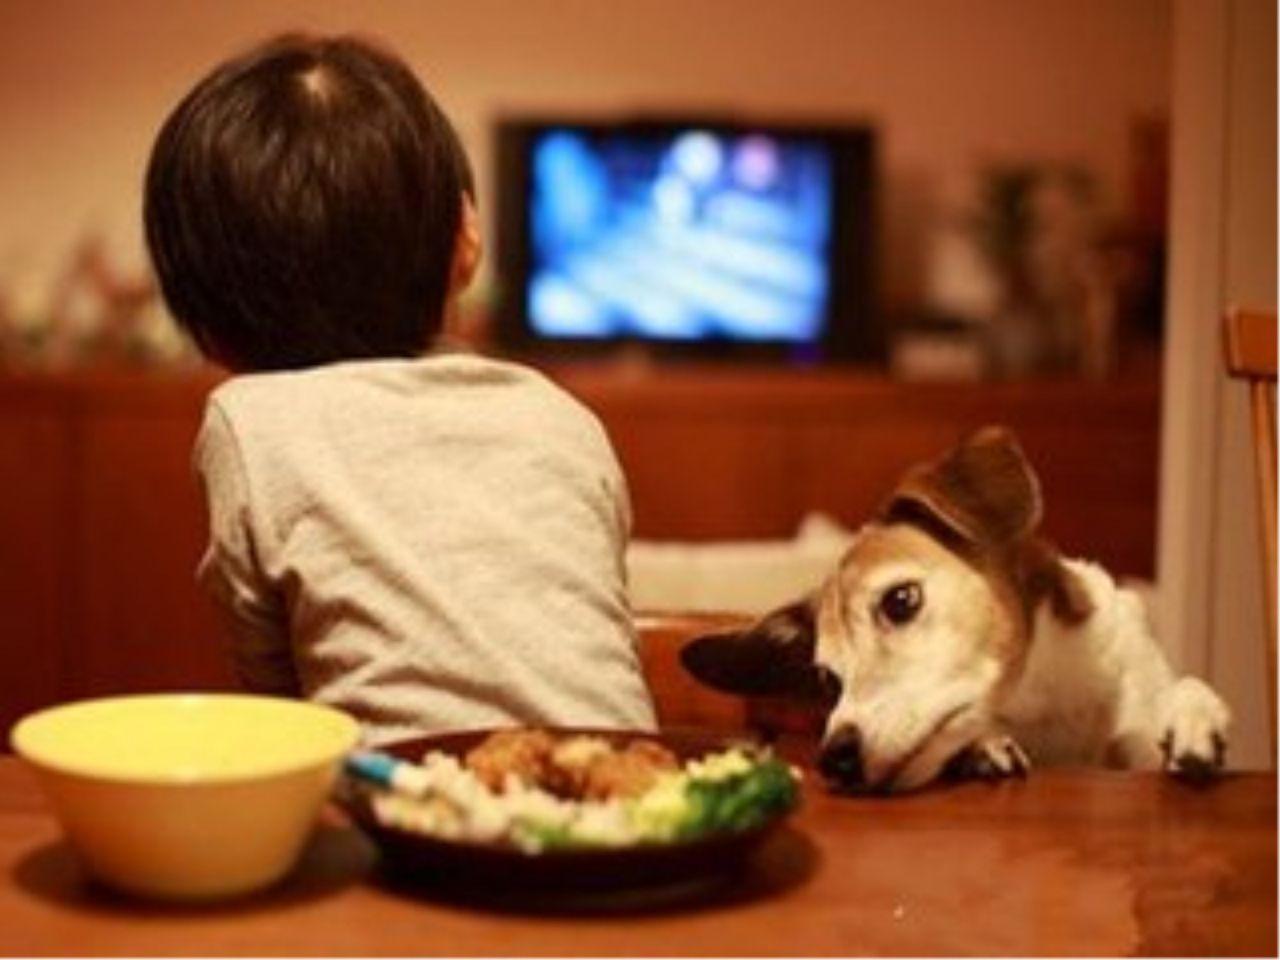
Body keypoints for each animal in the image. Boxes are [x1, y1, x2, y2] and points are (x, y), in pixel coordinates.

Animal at [680, 427, 1228, 798]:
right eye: (827, 681)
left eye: (900, 600)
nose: (834, 759)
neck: (1043, 700)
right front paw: (983, 749)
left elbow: (1179, 693)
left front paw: (1195, 718)